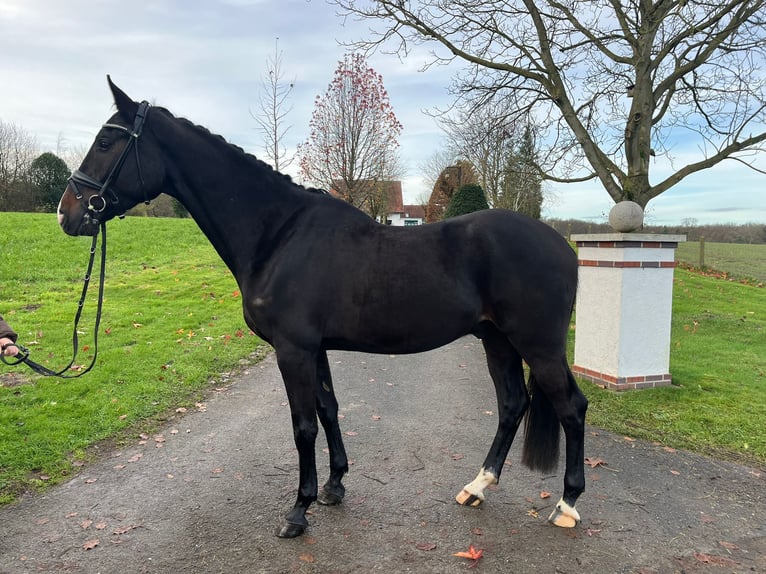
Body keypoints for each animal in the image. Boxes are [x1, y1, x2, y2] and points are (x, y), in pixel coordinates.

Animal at [58, 79, 588, 544]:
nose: (68, 212)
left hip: (537, 345)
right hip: (497, 341)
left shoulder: (293, 350)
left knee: (571, 407)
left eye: (106, 141)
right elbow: (329, 410)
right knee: (512, 404)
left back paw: (566, 505)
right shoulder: (316, 349)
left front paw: (298, 511)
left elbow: (303, 426)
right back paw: (477, 487)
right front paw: (334, 487)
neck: (279, 234)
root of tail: (563, 245)